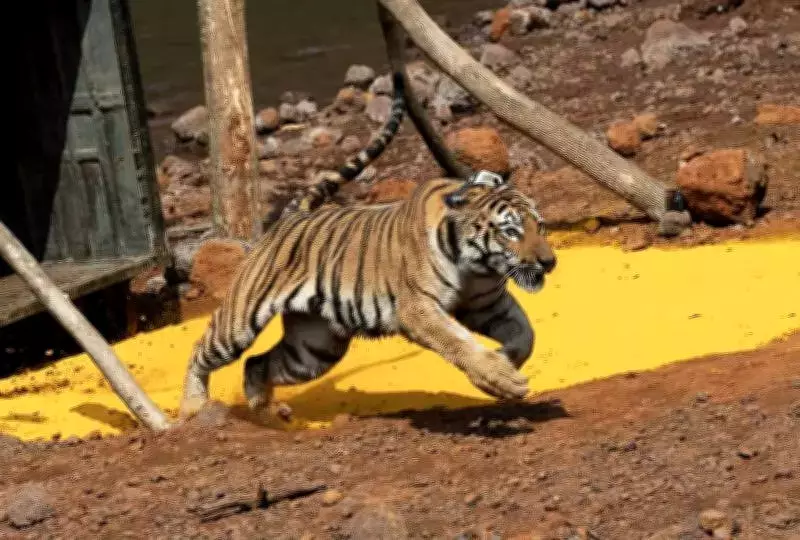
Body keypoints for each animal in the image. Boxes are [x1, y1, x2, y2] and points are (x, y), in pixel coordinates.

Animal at [179, 166, 558, 421]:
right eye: (511, 231)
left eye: (540, 225)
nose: (549, 262)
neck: (477, 266)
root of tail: (292, 216)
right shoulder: (418, 308)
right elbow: (458, 342)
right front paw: (502, 379)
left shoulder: (488, 304)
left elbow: (527, 334)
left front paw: (507, 362)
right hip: (240, 321)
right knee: (201, 351)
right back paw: (192, 411)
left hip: (314, 350)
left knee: (257, 363)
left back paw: (267, 412)